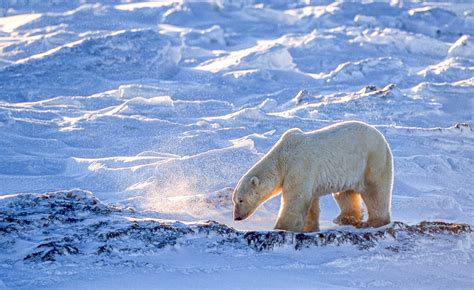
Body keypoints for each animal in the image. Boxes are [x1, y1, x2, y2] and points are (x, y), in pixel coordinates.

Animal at [232, 121, 392, 232]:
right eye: (234, 200)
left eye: (240, 200)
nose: (236, 217)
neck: (282, 158)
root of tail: (383, 139)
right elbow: (310, 203)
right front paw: (309, 228)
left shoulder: (299, 166)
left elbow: (296, 199)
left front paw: (281, 228)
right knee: (345, 193)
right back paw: (344, 218)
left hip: (372, 160)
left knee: (375, 192)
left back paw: (374, 222)